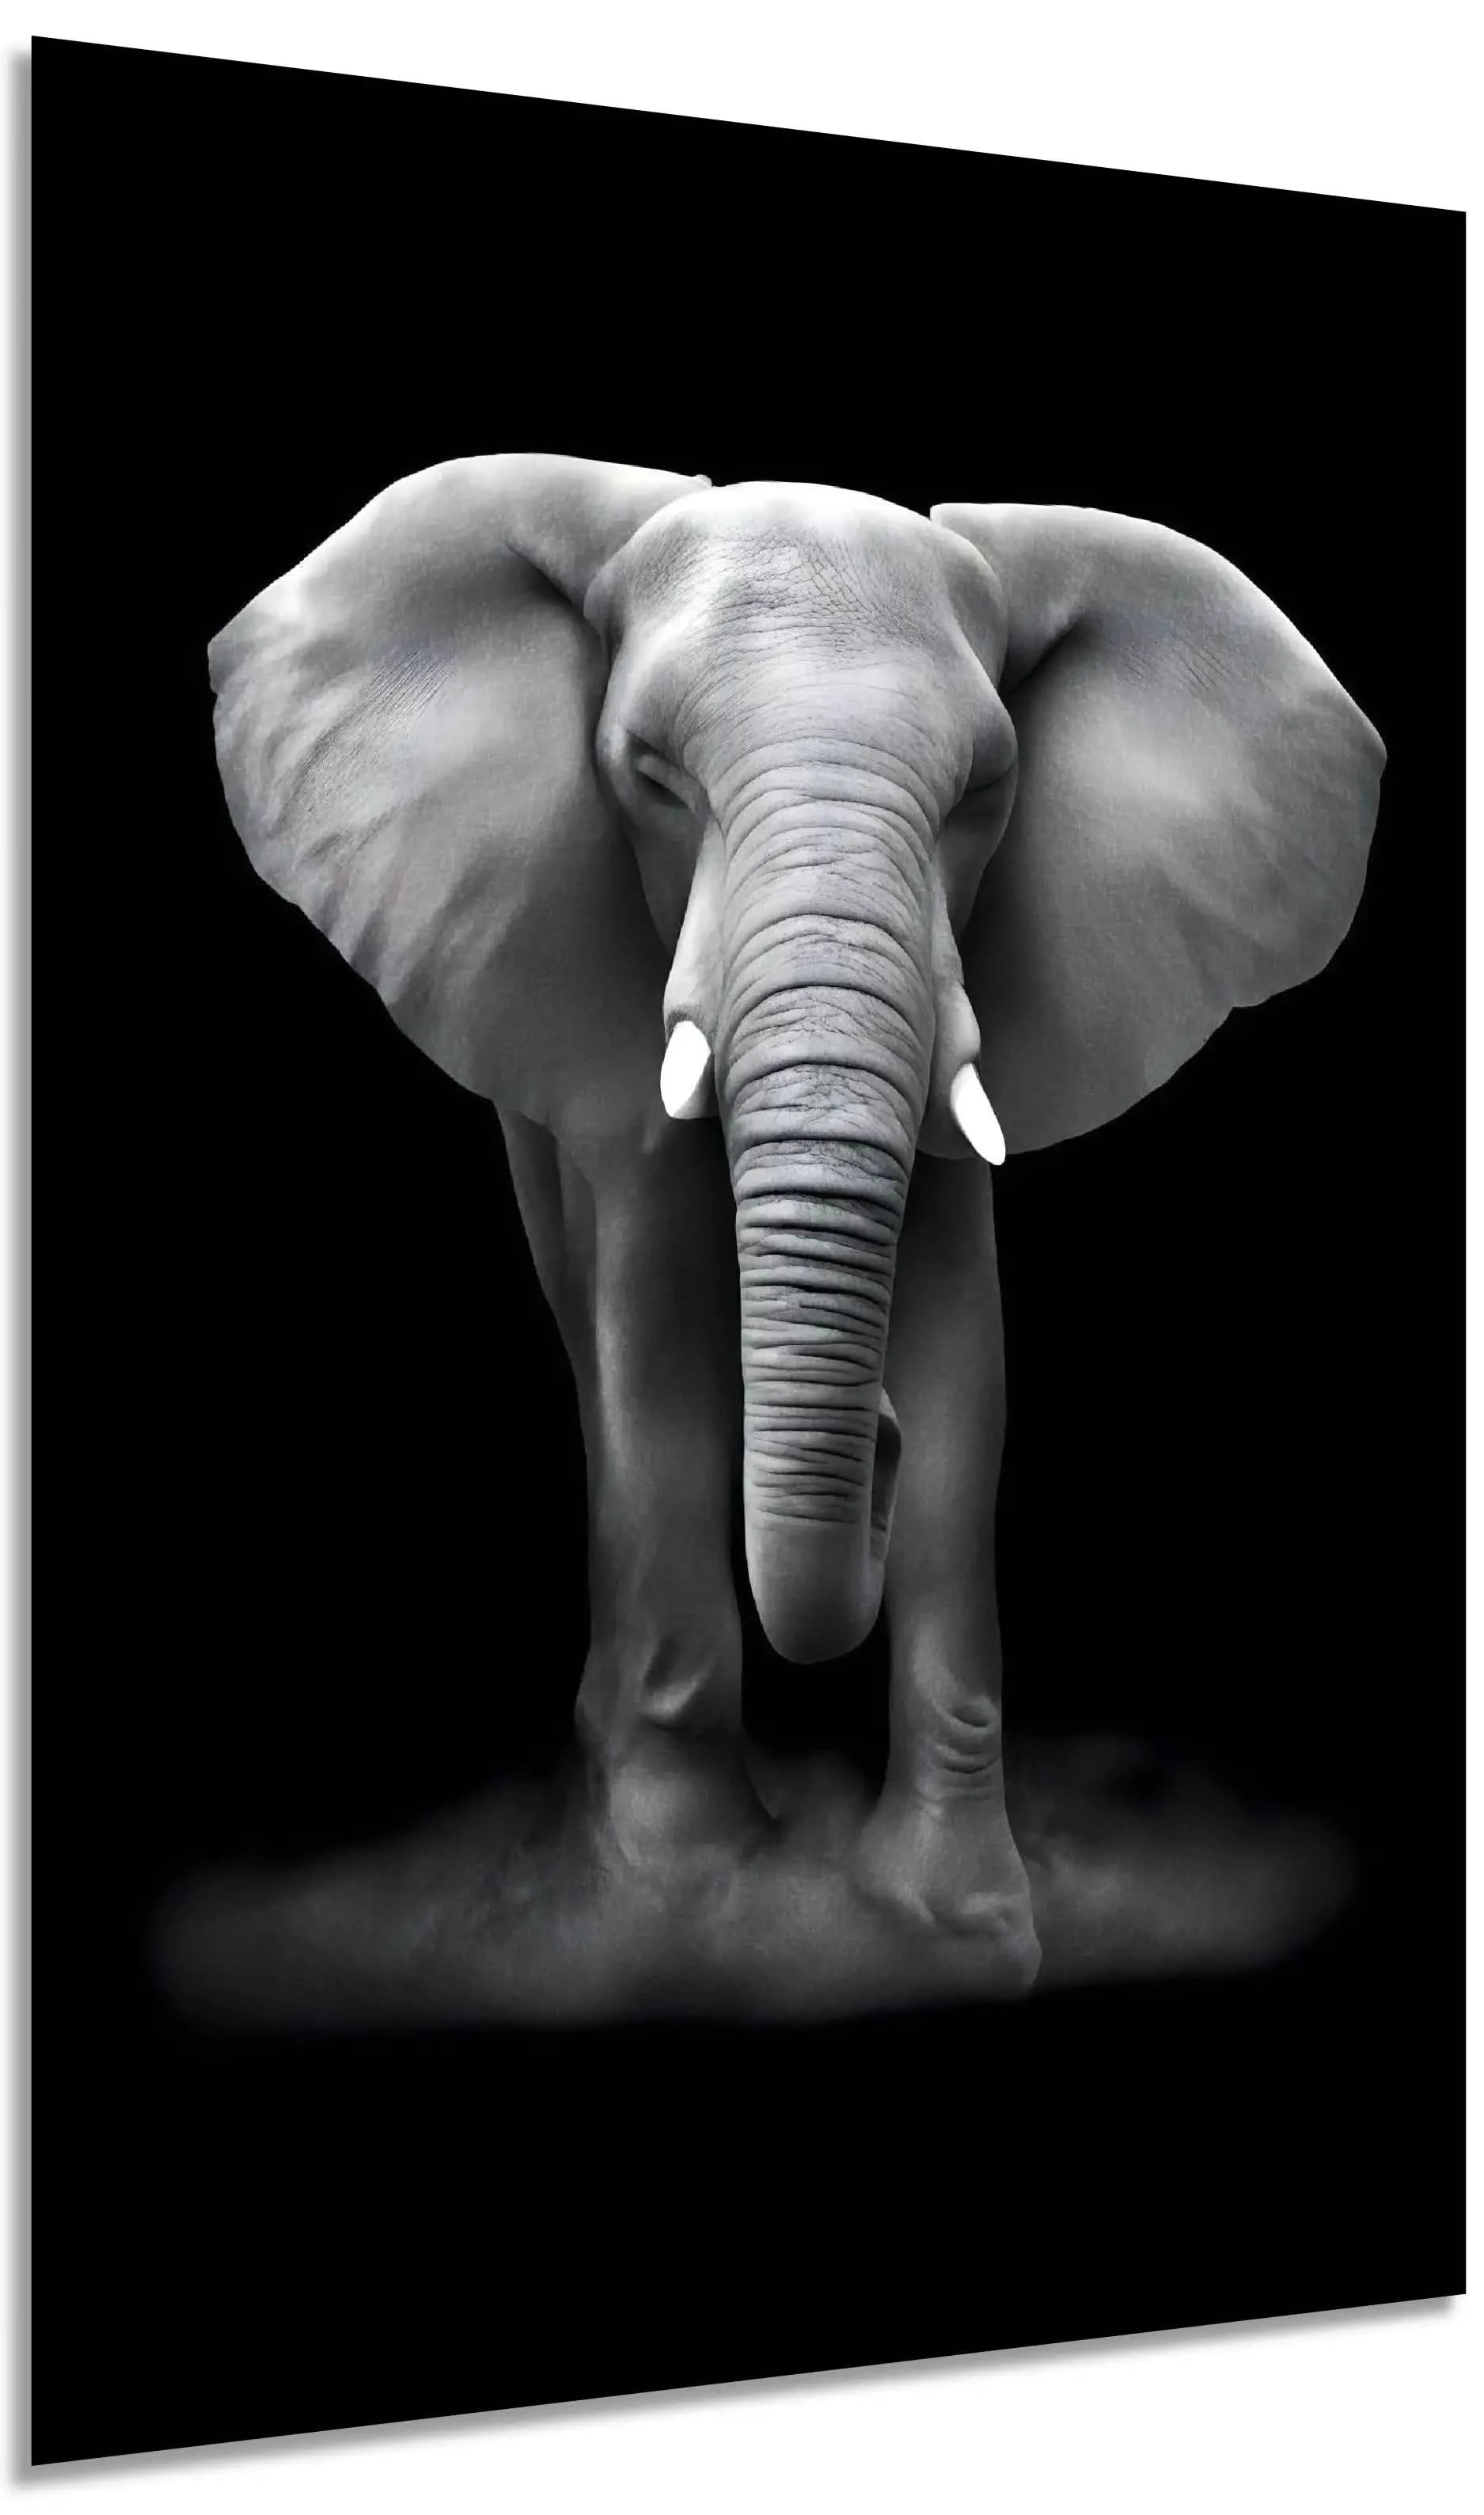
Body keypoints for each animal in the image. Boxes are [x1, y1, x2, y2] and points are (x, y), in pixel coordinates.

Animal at [205, 456, 1384, 2010]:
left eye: (986, 791)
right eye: (648, 773)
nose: (866, 1438)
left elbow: (966, 1360)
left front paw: (956, 1927)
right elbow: (655, 1332)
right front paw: (678, 1898)